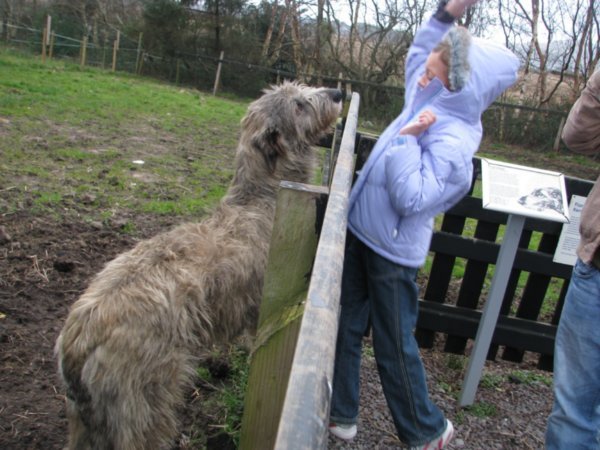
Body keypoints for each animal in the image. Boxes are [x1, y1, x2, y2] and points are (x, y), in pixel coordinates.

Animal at [55, 81, 342, 450]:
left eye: (301, 89)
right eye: (299, 105)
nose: (337, 94)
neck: (262, 196)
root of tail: (76, 344)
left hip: (88, 420)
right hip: (147, 400)